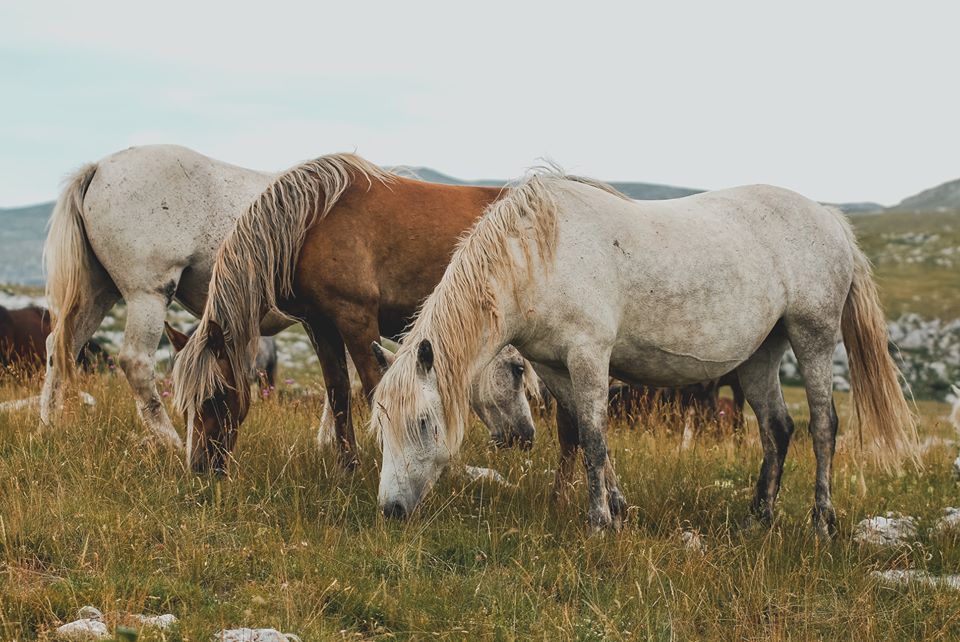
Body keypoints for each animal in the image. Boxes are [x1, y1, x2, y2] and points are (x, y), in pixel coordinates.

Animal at [171, 153, 536, 472]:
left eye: (215, 396)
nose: (200, 466)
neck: (311, 223)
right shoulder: (320, 325)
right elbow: (339, 394)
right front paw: (348, 467)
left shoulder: (356, 319)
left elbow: (375, 389)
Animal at [372, 171, 919, 537]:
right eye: (380, 426)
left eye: (423, 423)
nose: (390, 510)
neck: (540, 256)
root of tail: (828, 217)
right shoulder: (558, 367)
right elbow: (588, 436)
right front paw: (617, 509)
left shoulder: (589, 357)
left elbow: (594, 439)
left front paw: (598, 523)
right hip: (761, 354)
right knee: (776, 428)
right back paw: (757, 519)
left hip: (814, 336)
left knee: (823, 427)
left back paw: (822, 523)